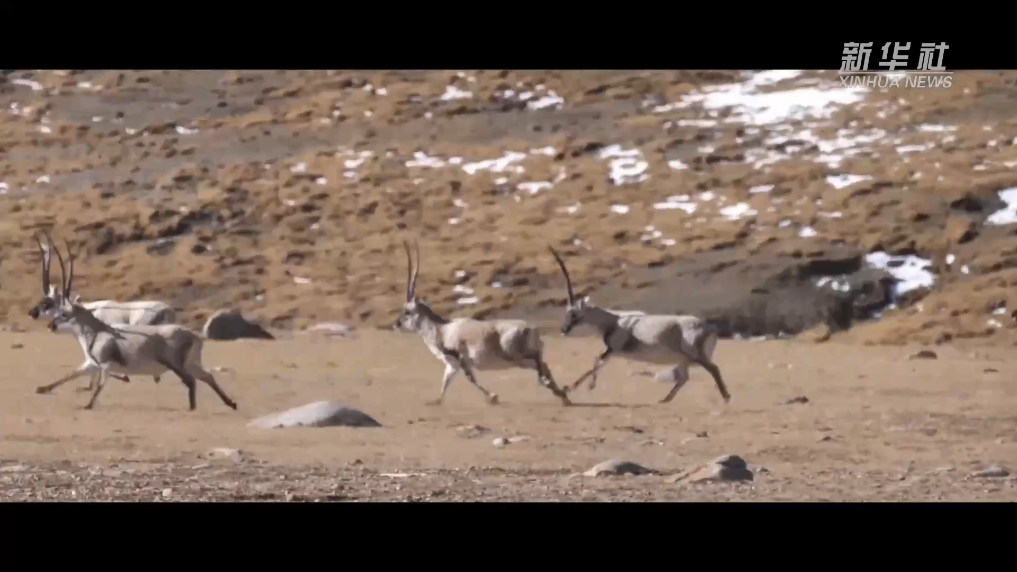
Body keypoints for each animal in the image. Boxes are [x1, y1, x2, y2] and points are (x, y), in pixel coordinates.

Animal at [393, 240, 571, 407]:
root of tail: (531, 328)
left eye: (407, 311)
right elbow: (445, 383)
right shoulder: (452, 365)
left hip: (517, 357)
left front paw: (493, 397)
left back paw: (558, 391)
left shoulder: (462, 360)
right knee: (544, 365)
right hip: (523, 358)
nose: (395, 324)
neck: (442, 329)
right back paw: (563, 396)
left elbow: (470, 378)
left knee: (540, 364)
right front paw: (436, 401)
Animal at [548, 246, 731, 405]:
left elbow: (596, 362)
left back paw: (726, 398)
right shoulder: (613, 352)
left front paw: (570, 388)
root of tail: (709, 328)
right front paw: (589, 386)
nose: (563, 330)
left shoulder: (613, 349)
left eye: (574, 313)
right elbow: (598, 362)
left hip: (696, 355)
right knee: (684, 377)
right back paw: (664, 400)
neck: (614, 319)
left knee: (713, 369)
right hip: (684, 359)